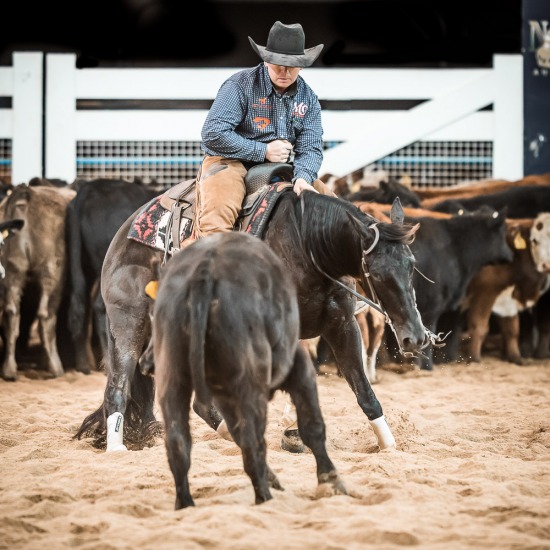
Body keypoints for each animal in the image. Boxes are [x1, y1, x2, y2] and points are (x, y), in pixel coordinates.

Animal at [0, 183, 75, 382]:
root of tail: (26, 193)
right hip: (52, 271)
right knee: (45, 314)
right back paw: (55, 366)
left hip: (12, 270)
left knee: (12, 313)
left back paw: (9, 369)